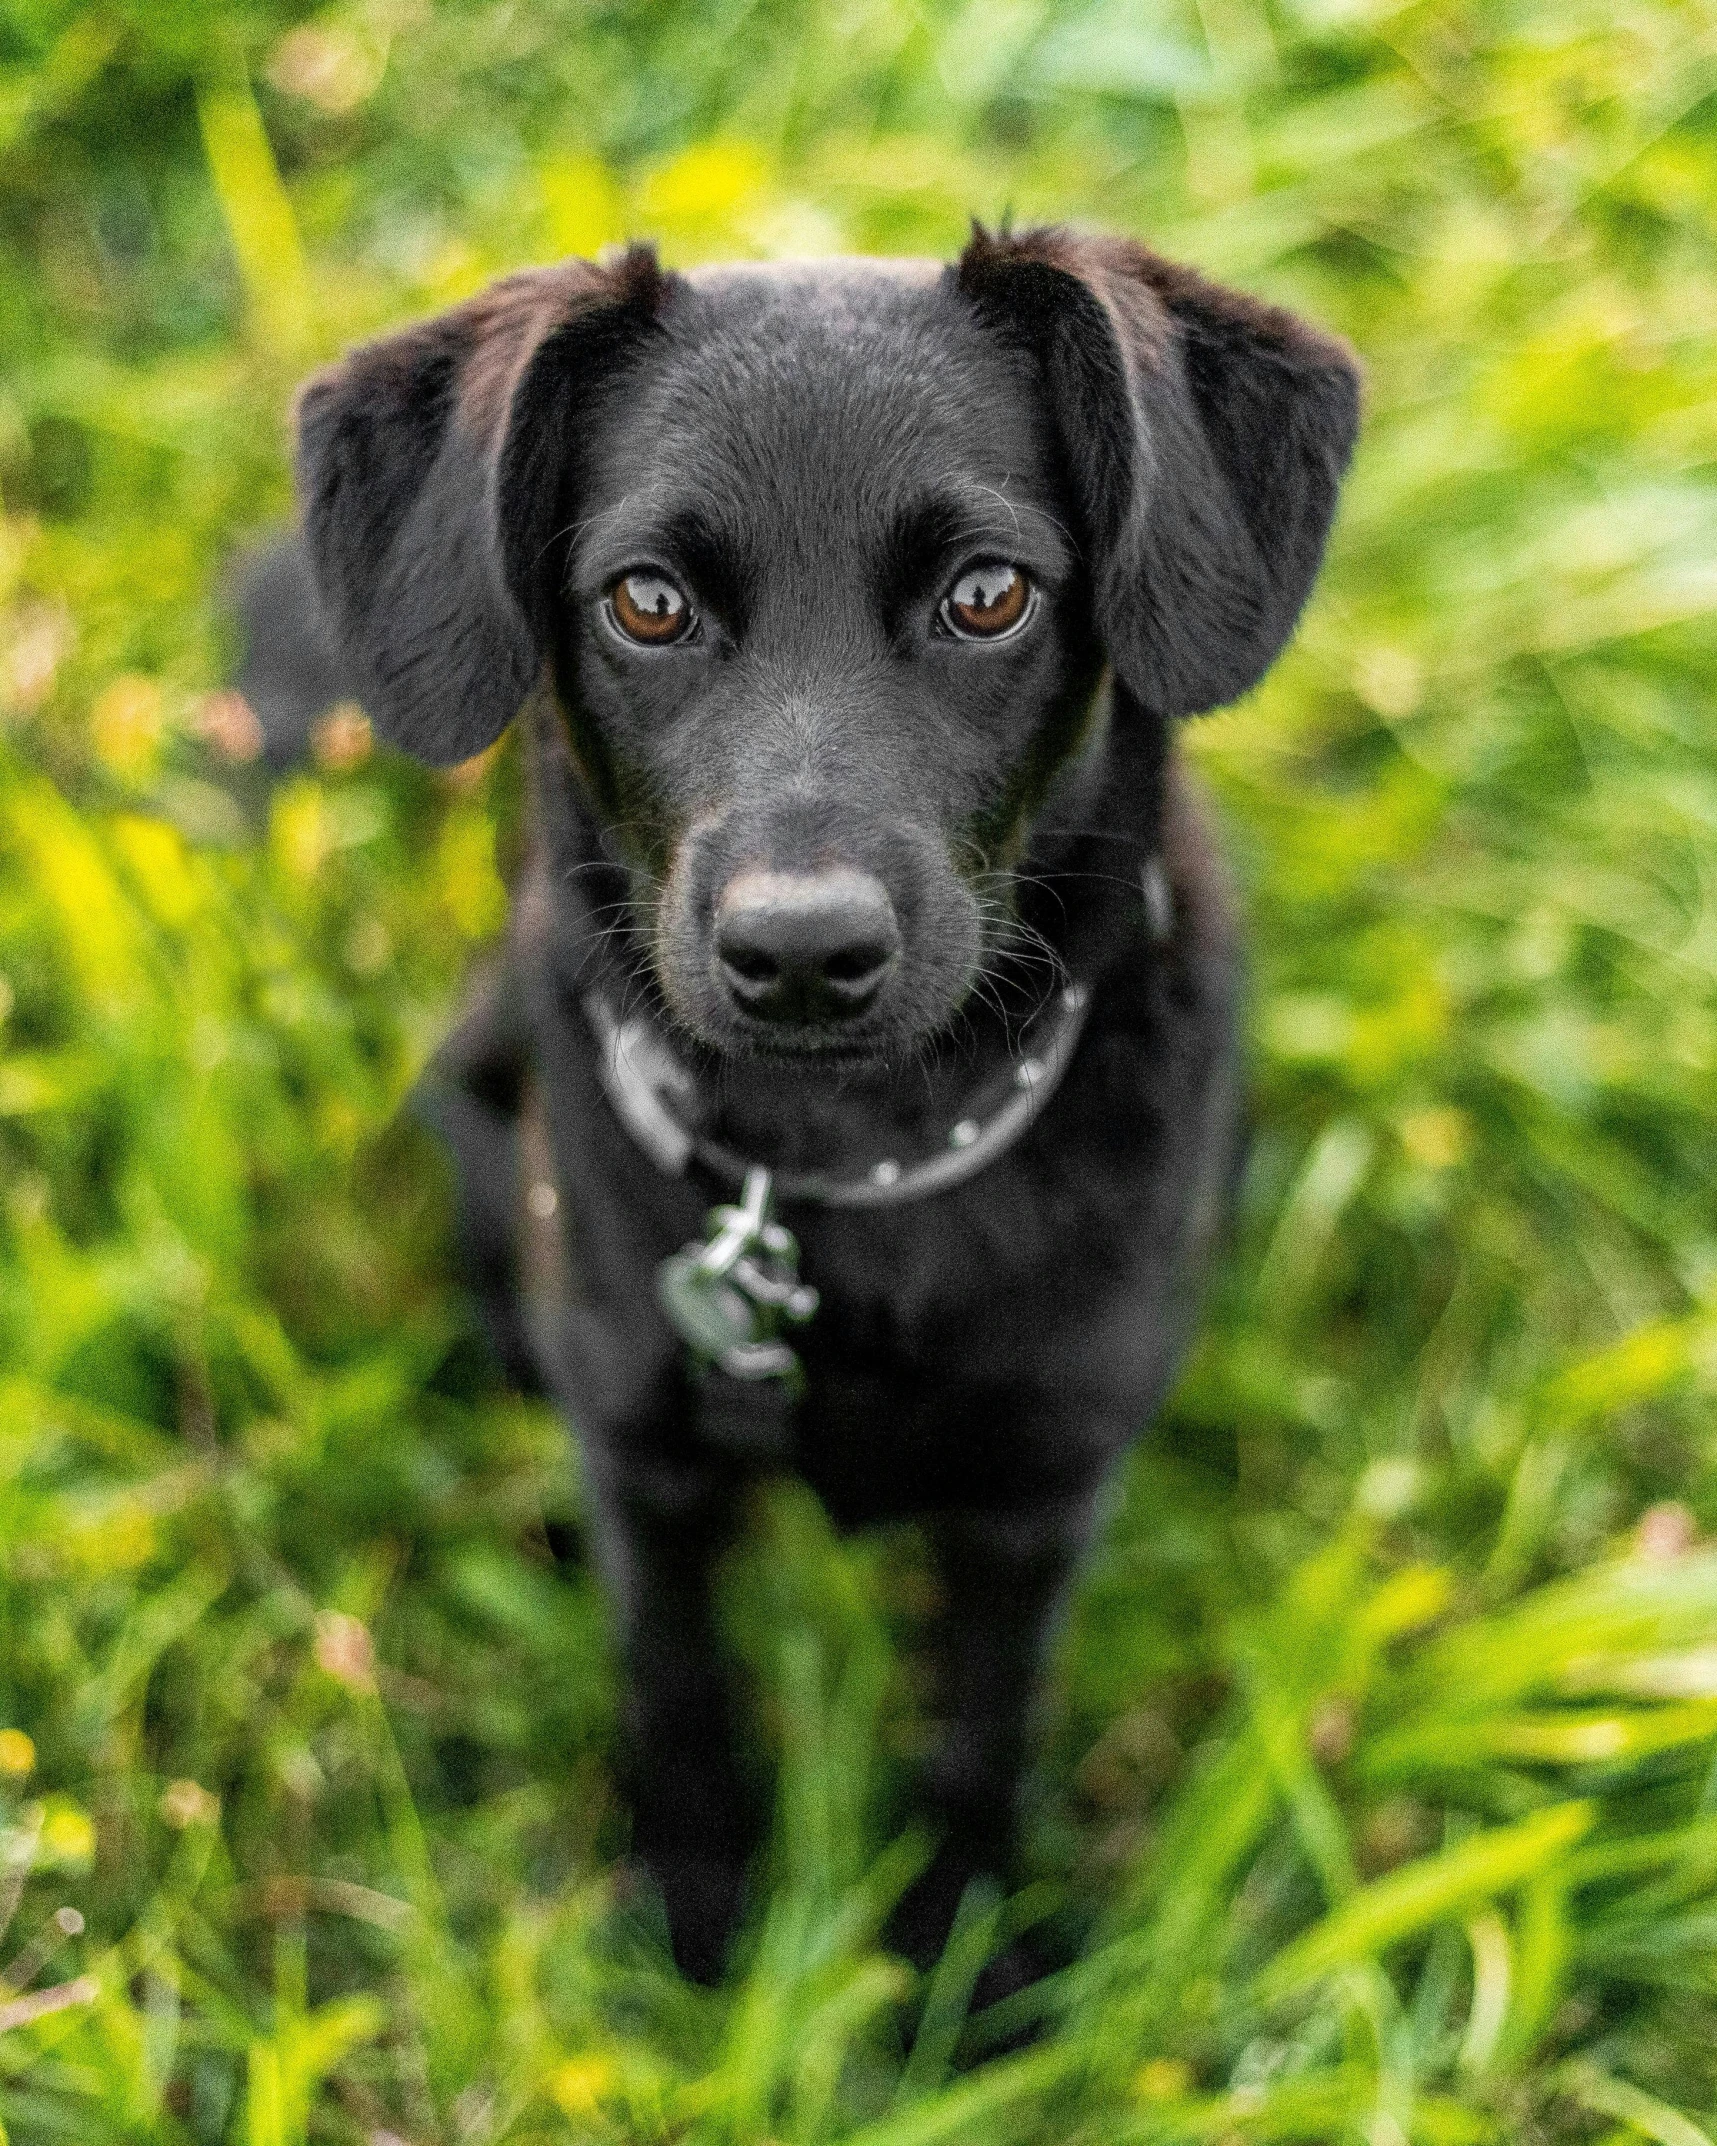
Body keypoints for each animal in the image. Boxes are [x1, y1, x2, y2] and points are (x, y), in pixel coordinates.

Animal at [279, 230, 1356, 1974]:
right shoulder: (647, 1464)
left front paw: (965, 1950)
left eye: (987, 593)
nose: (798, 952)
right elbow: (674, 1677)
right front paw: (697, 1910)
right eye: (646, 602)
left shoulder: (1037, 1493)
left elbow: (982, 1721)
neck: (850, 1163)